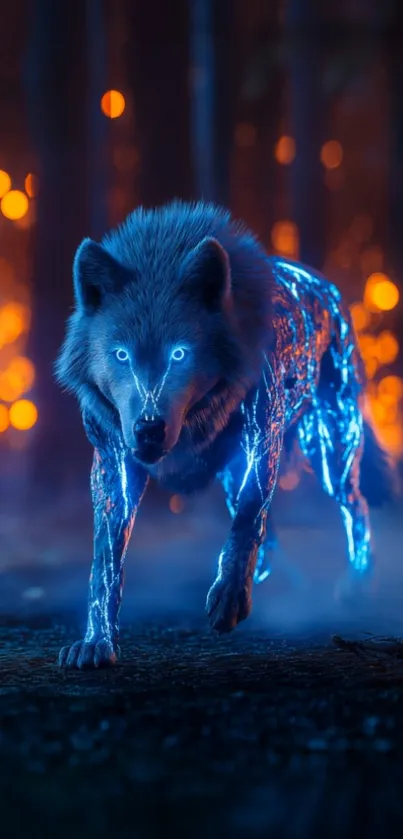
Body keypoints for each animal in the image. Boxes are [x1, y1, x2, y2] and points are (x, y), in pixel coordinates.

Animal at [56, 201, 394, 668]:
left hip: (330, 454)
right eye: (121, 355)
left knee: (355, 506)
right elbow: (104, 564)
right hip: (241, 470)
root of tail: (326, 286)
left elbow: (248, 521)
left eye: (180, 354)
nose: (148, 427)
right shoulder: (114, 467)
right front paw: (95, 643)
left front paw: (230, 599)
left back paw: (356, 585)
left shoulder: (259, 439)